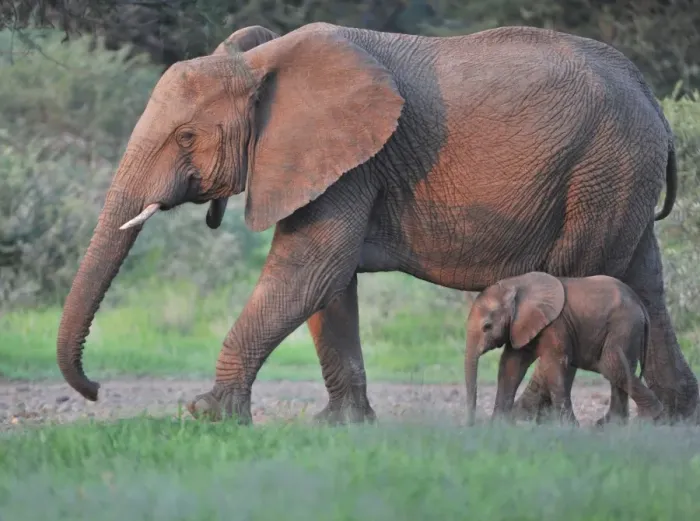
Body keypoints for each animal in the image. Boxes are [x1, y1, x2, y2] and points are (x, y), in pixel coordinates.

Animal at [464, 272, 665, 426]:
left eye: (487, 327)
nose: (472, 425)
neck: (515, 284)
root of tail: (640, 303)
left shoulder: (556, 324)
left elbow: (554, 365)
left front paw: (570, 427)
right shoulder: (521, 326)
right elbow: (511, 365)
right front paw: (498, 425)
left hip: (624, 325)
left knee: (612, 366)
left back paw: (649, 419)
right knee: (619, 370)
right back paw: (610, 426)